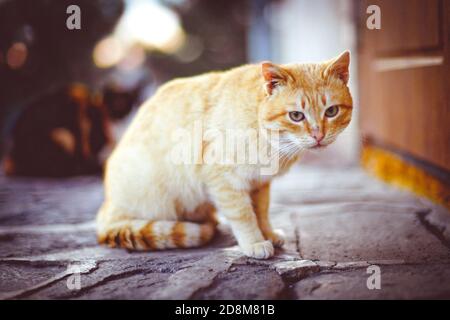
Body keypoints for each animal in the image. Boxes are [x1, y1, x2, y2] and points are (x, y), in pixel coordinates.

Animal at [96, 51, 354, 258]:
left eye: (331, 111)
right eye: (296, 116)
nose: (318, 135)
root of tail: (107, 206)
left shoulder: (259, 183)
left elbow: (261, 212)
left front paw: (268, 233)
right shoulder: (225, 181)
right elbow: (244, 215)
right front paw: (255, 242)